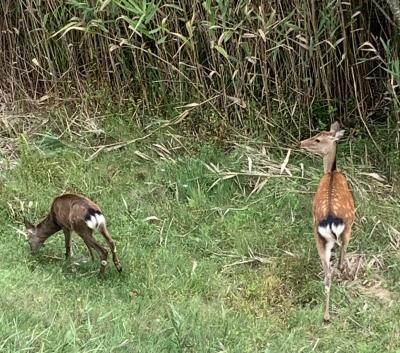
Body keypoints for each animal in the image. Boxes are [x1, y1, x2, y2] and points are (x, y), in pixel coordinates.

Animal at [300, 121, 356, 322]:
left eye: (317, 139)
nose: (301, 143)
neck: (331, 172)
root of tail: (331, 221)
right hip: (345, 230)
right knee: (336, 265)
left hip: (322, 236)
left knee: (328, 274)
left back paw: (326, 315)